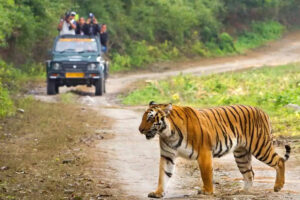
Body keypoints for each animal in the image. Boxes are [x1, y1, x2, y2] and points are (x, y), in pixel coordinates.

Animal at [138, 101, 290, 198]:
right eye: (144, 118)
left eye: (150, 118)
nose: (140, 130)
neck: (167, 133)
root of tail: (262, 111)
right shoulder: (167, 156)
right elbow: (163, 175)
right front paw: (158, 193)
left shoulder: (204, 152)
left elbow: (206, 174)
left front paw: (207, 191)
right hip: (241, 154)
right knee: (250, 173)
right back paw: (242, 192)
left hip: (260, 146)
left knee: (279, 161)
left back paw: (278, 186)